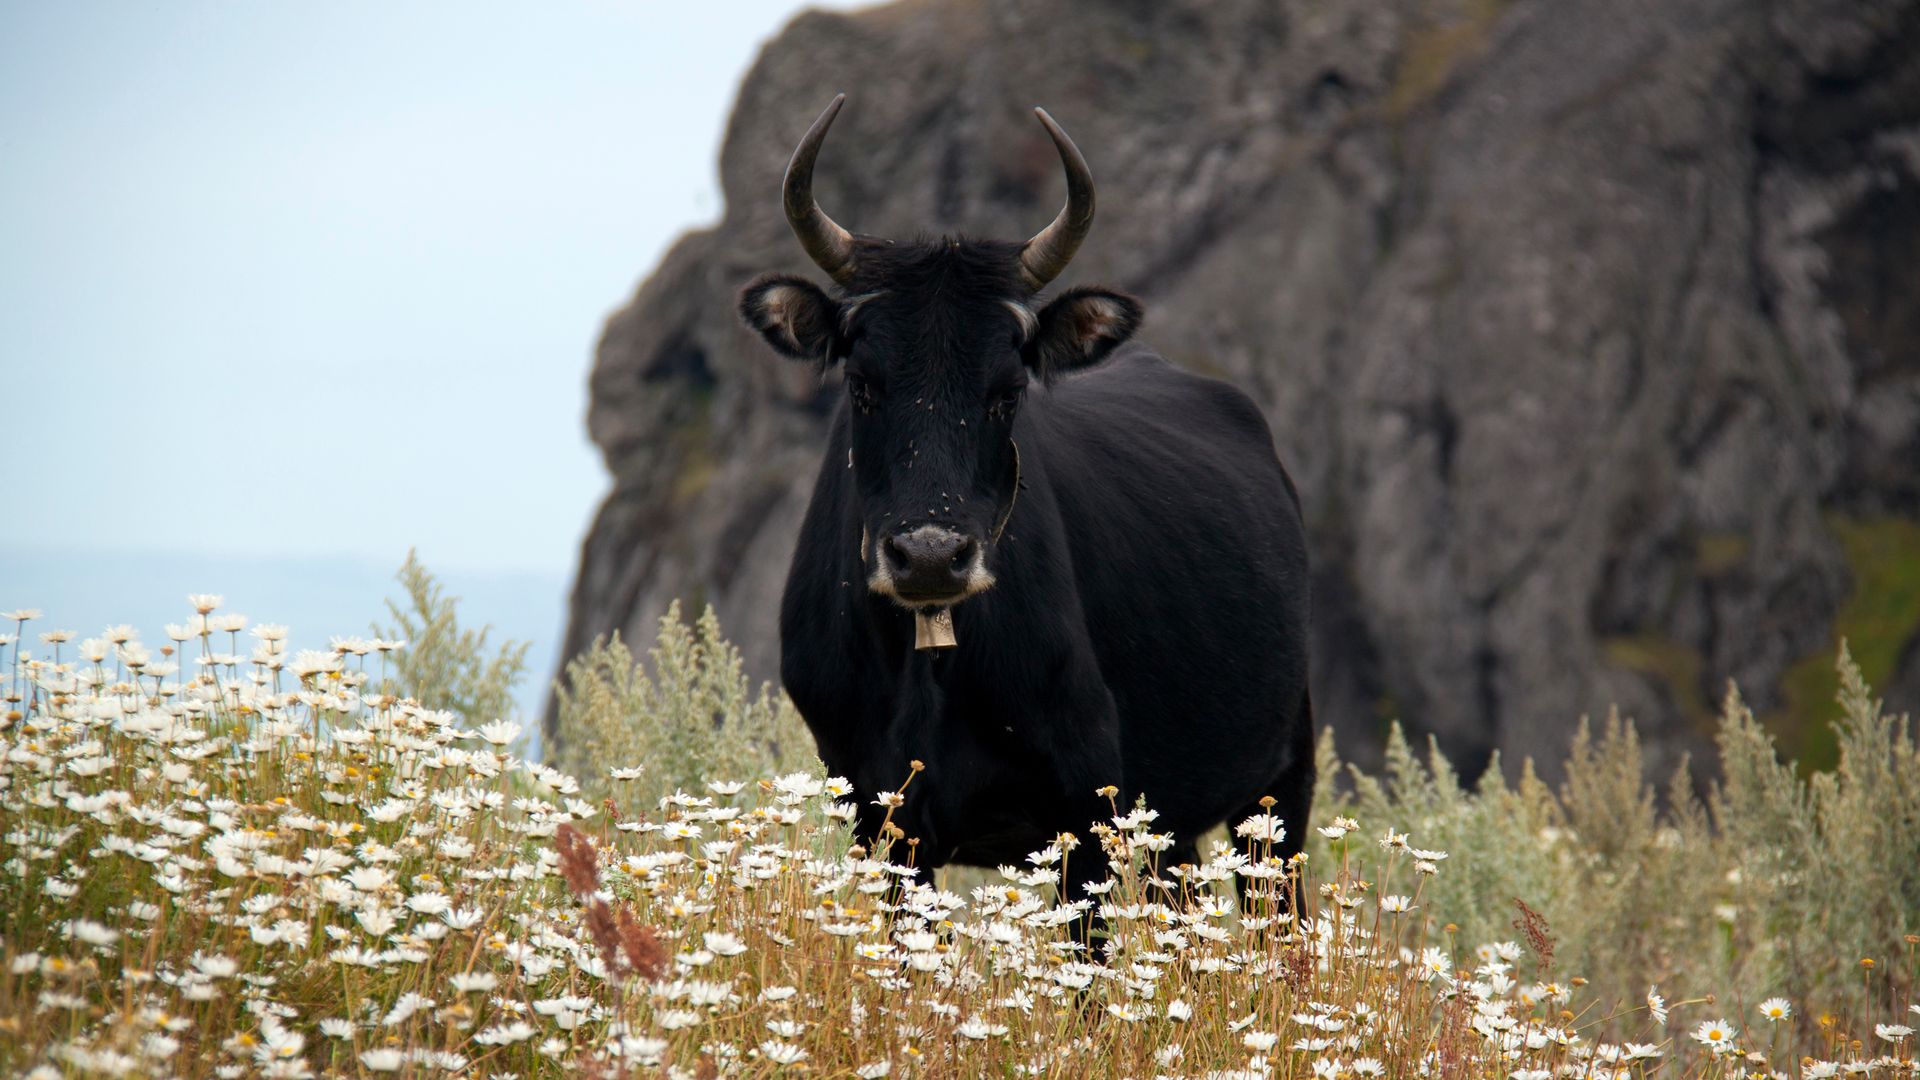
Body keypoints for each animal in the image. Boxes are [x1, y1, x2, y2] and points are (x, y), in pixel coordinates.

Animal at [737, 94, 1320, 899]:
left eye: (1007, 392)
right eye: (861, 384)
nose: (929, 556)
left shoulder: (1088, 806)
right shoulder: (881, 818)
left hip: (1280, 783)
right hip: (1173, 822)